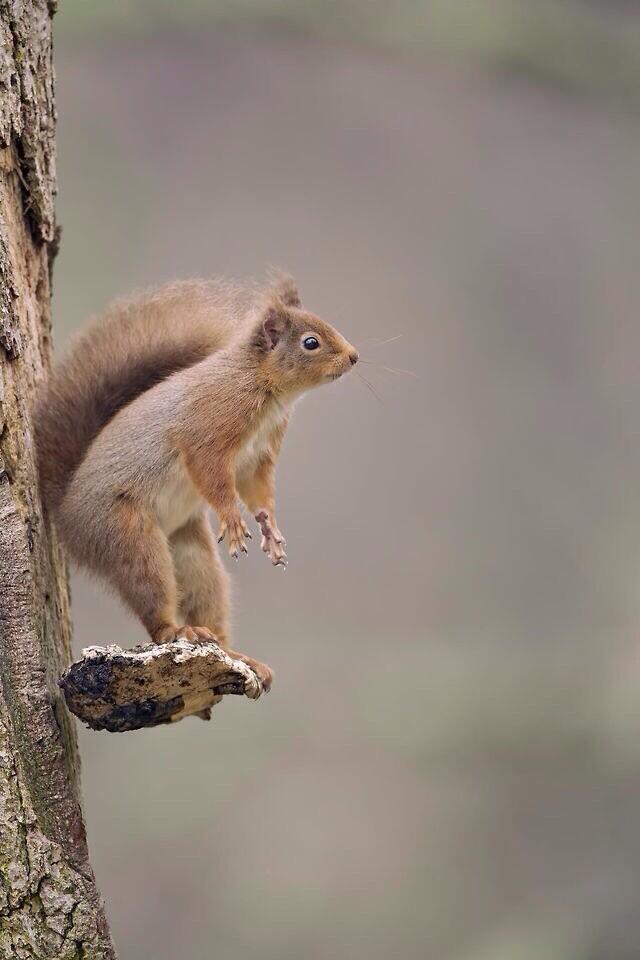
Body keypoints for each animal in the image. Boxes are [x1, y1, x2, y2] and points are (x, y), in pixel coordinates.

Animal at [33, 274, 360, 688]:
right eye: (310, 342)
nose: (354, 356)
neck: (264, 387)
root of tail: (65, 512)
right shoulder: (208, 431)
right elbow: (213, 477)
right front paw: (232, 519)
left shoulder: (257, 458)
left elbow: (257, 491)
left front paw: (270, 529)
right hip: (127, 535)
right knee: (151, 596)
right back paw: (176, 630)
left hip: (192, 553)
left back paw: (236, 654)